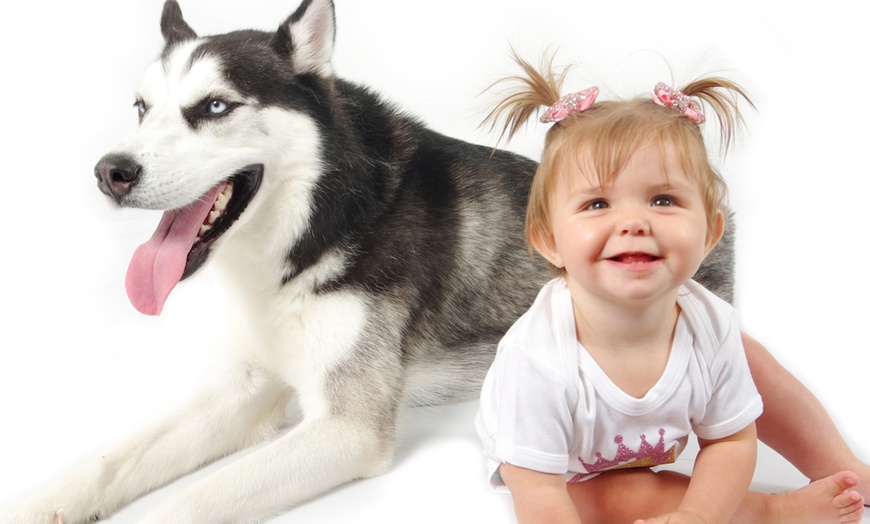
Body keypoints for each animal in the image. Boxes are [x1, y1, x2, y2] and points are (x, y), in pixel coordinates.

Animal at [1, 1, 736, 524]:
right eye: (141, 108)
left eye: (214, 106)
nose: (111, 171)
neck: (306, 240)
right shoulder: (242, 388)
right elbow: (110, 460)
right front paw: (44, 502)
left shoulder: (346, 429)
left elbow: (191, 500)